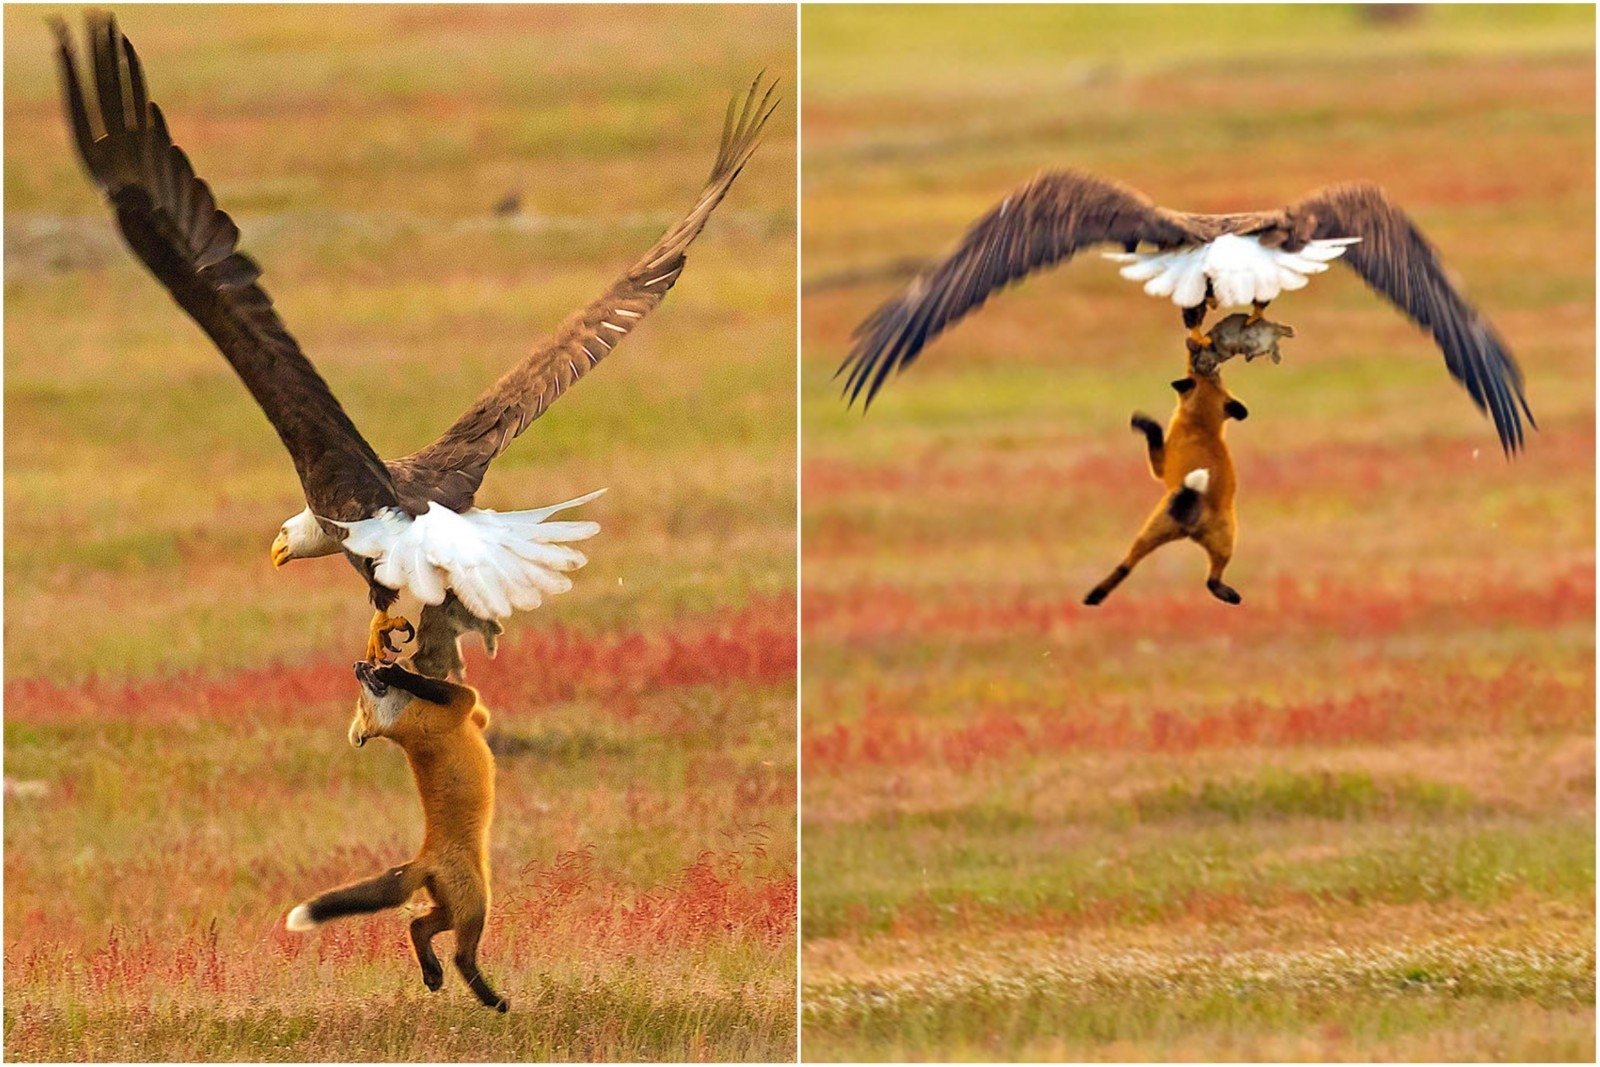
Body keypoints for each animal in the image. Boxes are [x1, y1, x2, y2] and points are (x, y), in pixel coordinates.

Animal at [288, 662, 505, 1017]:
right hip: (475, 904)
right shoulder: (458, 704)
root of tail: (424, 858)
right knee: (461, 956)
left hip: (451, 908)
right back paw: (493, 999)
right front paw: (397, 672)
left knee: (417, 926)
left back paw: (432, 972)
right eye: (362, 703)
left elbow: (479, 712)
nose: (359, 666)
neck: (406, 721)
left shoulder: (473, 715)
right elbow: (447, 689)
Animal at [1088, 367, 1248, 604]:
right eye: (1218, 380)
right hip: (1223, 542)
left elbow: (1155, 432)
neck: (1200, 427)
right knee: (1209, 580)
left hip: (1156, 529)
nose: (1214, 369)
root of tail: (1190, 527)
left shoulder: (1160, 466)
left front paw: (1141, 422)